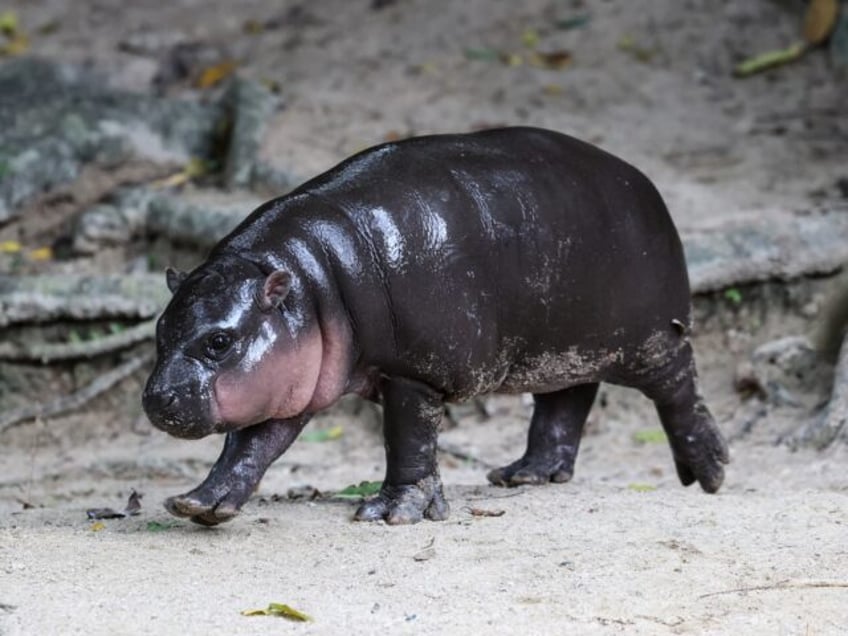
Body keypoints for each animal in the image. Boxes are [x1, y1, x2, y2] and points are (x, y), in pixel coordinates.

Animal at [141, 125, 728, 528]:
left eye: (220, 341)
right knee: (566, 399)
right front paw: (200, 504)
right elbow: (250, 447)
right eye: (160, 329)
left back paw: (709, 473)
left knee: (679, 389)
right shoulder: (290, 381)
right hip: (562, 342)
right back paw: (523, 476)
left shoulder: (416, 371)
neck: (310, 281)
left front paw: (392, 513)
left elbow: (409, 443)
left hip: (651, 338)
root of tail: (642, 181)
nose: (156, 398)